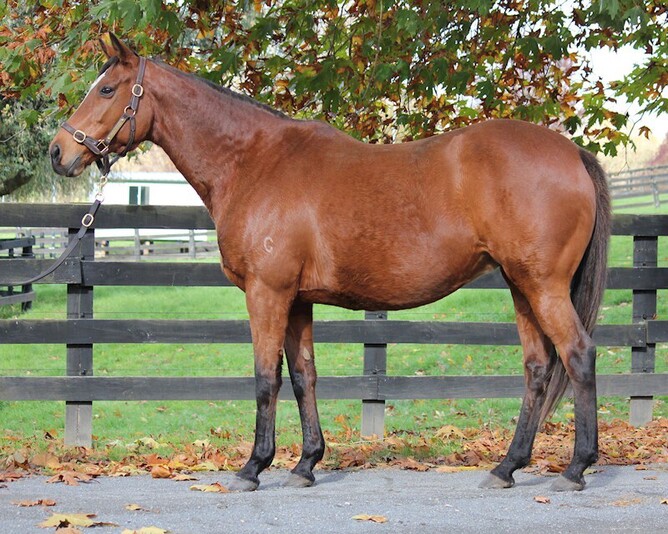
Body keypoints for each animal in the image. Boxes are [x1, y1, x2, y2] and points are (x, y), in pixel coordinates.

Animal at [50, 34, 611, 492]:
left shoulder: (267, 293)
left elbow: (266, 379)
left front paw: (253, 467)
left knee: (579, 355)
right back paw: (507, 467)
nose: (58, 152)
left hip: (543, 286)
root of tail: (571, 153)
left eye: (106, 90)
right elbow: (303, 376)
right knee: (538, 367)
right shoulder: (296, 300)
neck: (254, 162)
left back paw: (575, 468)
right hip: (521, 286)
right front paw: (305, 464)